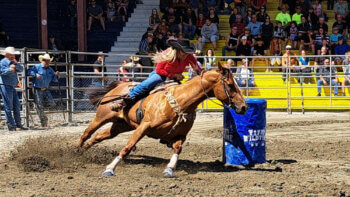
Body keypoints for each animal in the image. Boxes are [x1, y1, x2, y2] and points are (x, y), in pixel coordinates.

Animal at [77, 64, 246, 177]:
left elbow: (177, 149)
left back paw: (84, 152)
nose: (244, 107)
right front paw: (110, 169)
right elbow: (128, 147)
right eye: (230, 85)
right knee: (87, 132)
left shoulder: (180, 136)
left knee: (98, 136)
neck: (180, 102)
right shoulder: (144, 127)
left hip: (121, 125)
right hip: (102, 117)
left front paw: (169, 169)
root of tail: (119, 85)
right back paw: (76, 150)